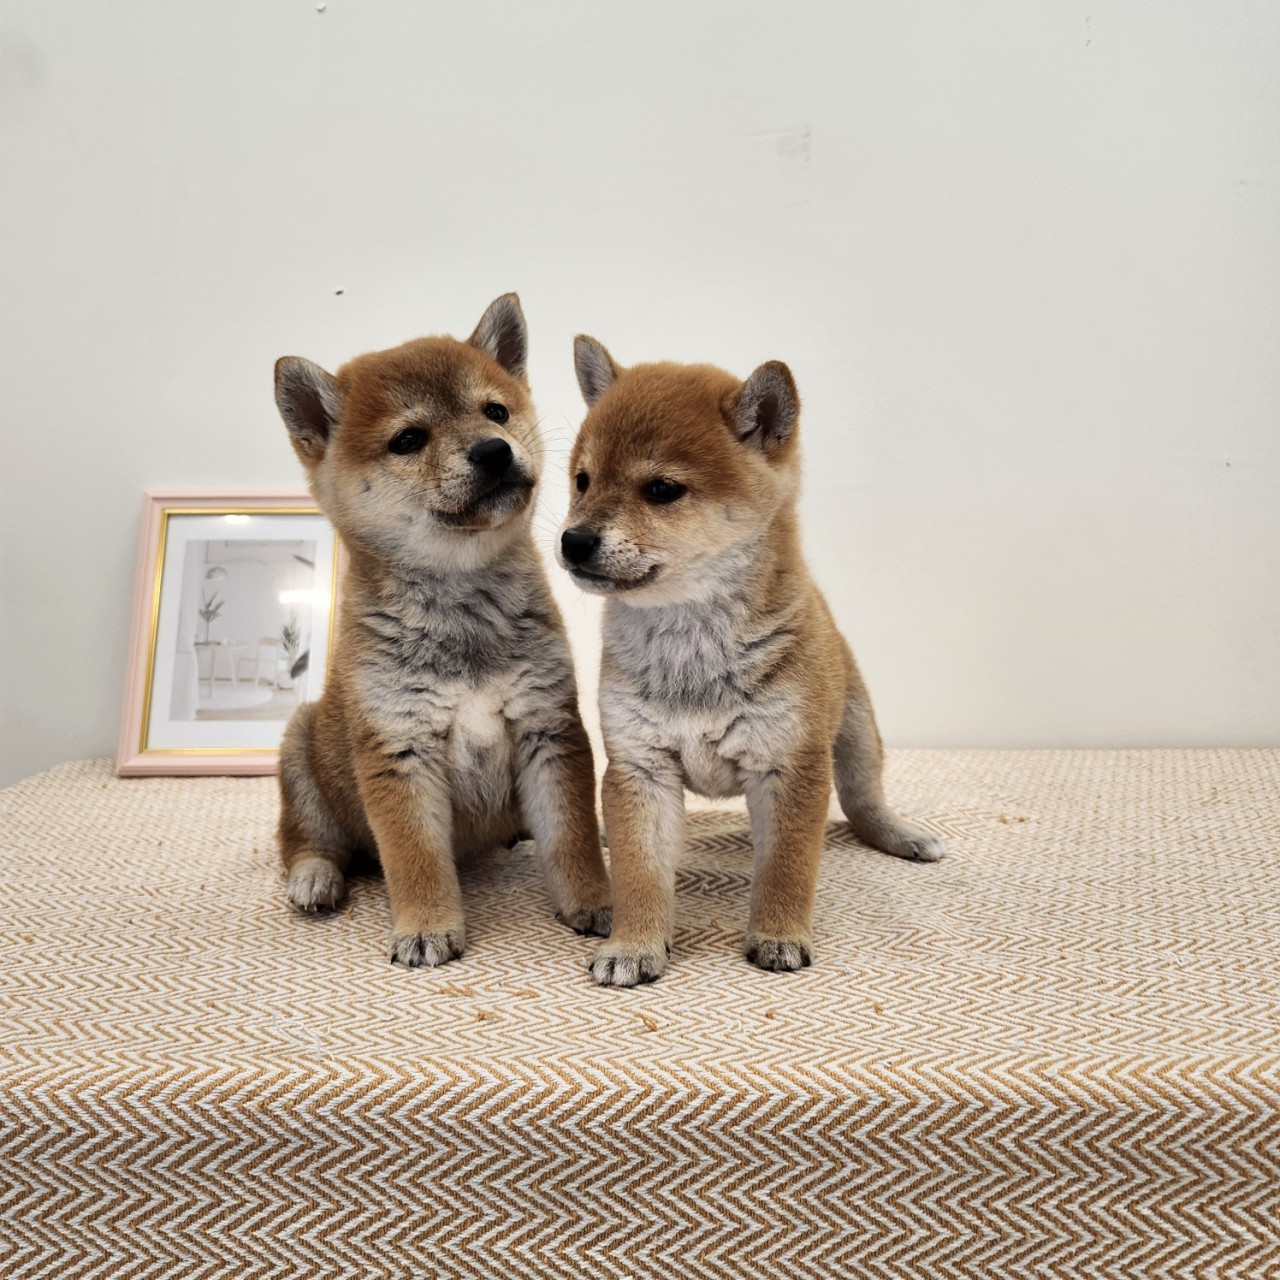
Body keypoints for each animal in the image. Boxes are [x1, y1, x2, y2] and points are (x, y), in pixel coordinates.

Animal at [271, 294, 611, 966]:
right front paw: (427, 926)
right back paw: (315, 877)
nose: (493, 451)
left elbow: (572, 835)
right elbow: (417, 858)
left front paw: (594, 901)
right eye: (408, 439)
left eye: (495, 411)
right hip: (300, 748)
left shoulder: (548, 727)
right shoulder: (399, 749)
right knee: (304, 840)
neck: (463, 606)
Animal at [558, 336, 945, 986]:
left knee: (864, 804)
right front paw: (634, 944)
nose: (572, 540)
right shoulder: (640, 768)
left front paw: (779, 934)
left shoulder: (791, 767)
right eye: (582, 480)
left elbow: (786, 868)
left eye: (661, 490)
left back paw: (902, 835)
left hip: (857, 736)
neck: (690, 645)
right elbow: (641, 874)